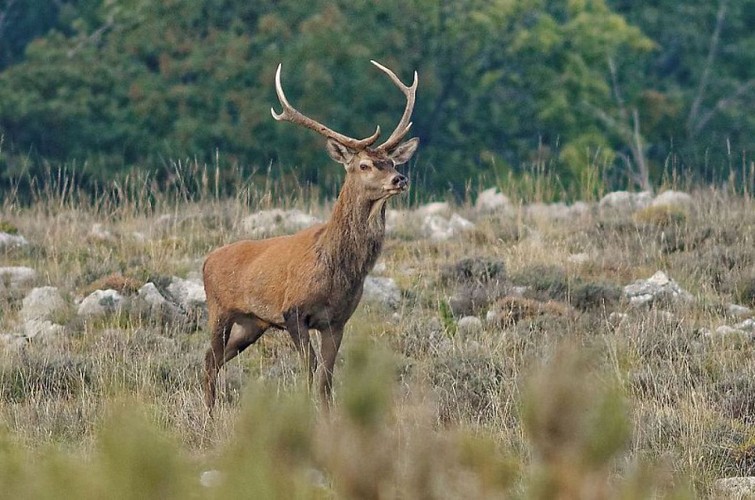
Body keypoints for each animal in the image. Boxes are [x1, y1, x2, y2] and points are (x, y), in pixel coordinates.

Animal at [202, 60, 419, 411]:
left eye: (390, 161)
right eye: (364, 165)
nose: (400, 179)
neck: (336, 270)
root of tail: (206, 260)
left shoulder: (337, 320)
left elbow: (326, 378)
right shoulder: (293, 311)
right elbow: (309, 369)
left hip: (252, 323)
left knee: (214, 359)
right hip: (218, 309)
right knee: (210, 358)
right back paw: (209, 411)